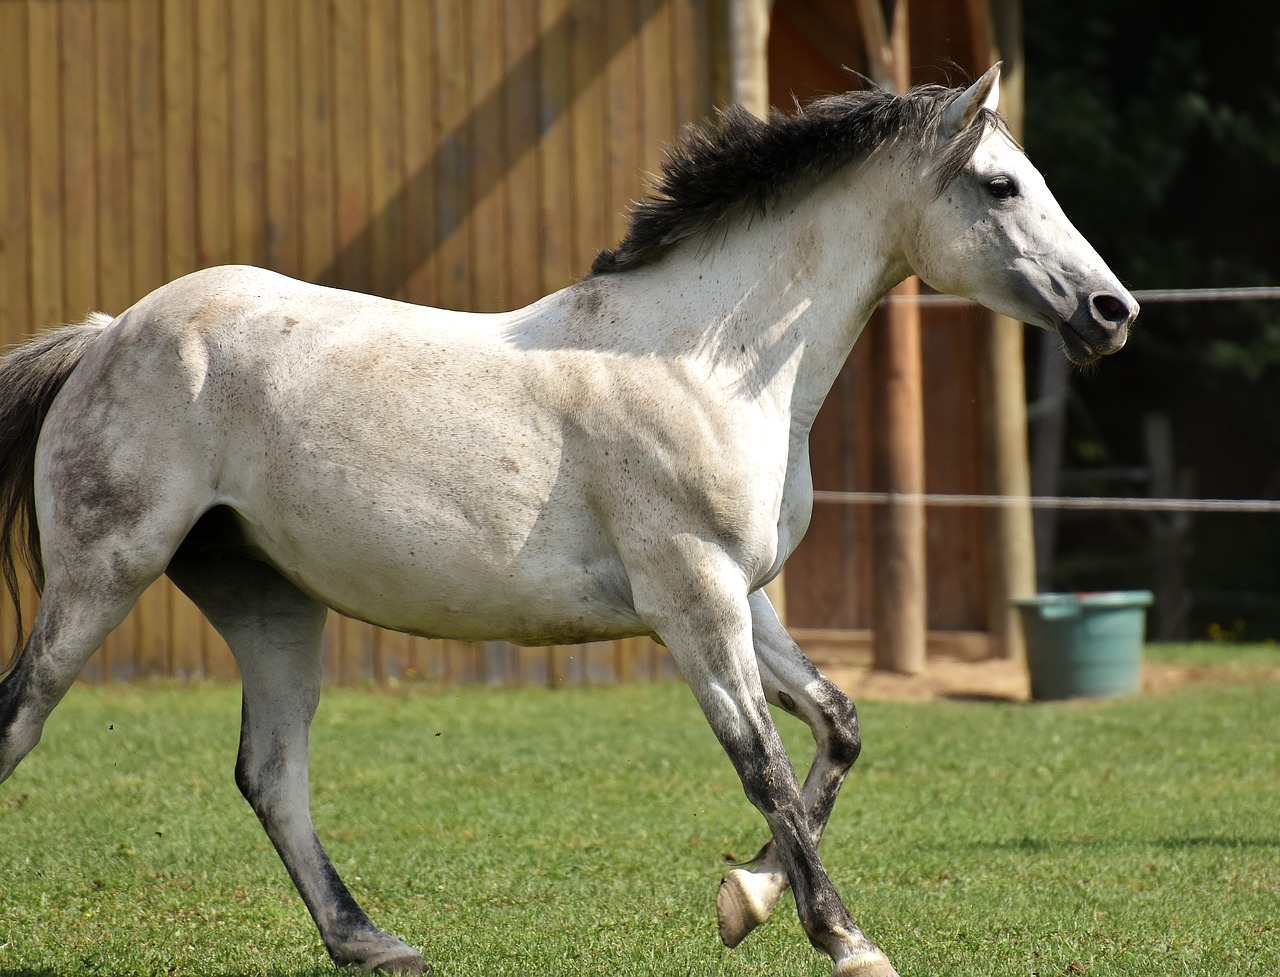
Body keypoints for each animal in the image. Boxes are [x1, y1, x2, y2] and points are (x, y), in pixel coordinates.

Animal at [2, 68, 1141, 977]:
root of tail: (108, 333)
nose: (1110, 311)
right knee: (23, 715)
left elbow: (838, 726)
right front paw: (846, 940)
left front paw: (745, 899)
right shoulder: (693, 602)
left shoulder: (743, 596)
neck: (710, 363)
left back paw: (373, 941)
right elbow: (764, 763)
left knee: (270, 773)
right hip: (106, 571)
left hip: (269, 601)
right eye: (1000, 185)